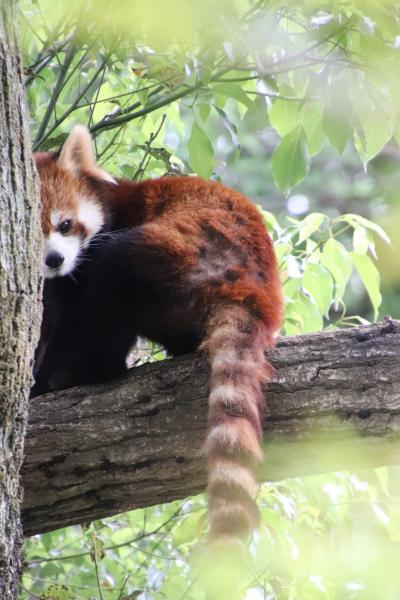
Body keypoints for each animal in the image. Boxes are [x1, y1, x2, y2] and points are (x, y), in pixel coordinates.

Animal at [35, 125, 284, 544]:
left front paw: (43, 381)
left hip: (182, 249)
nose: (54, 260)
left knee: (110, 277)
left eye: (65, 224)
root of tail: (254, 290)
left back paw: (87, 373)